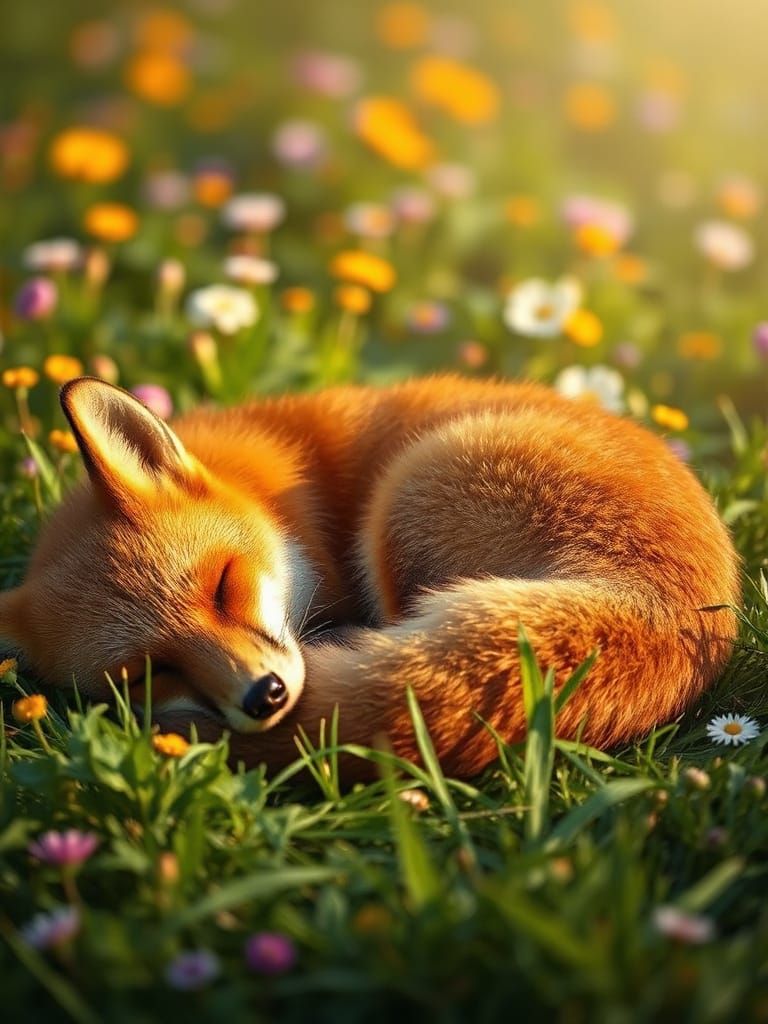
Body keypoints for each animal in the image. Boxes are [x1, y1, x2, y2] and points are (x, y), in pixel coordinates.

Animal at [0, 374, 740, 779]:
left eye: (223, 584)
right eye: (148, 672)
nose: (264, 696)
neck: (293, 482)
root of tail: (666, 609)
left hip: (404, 496)